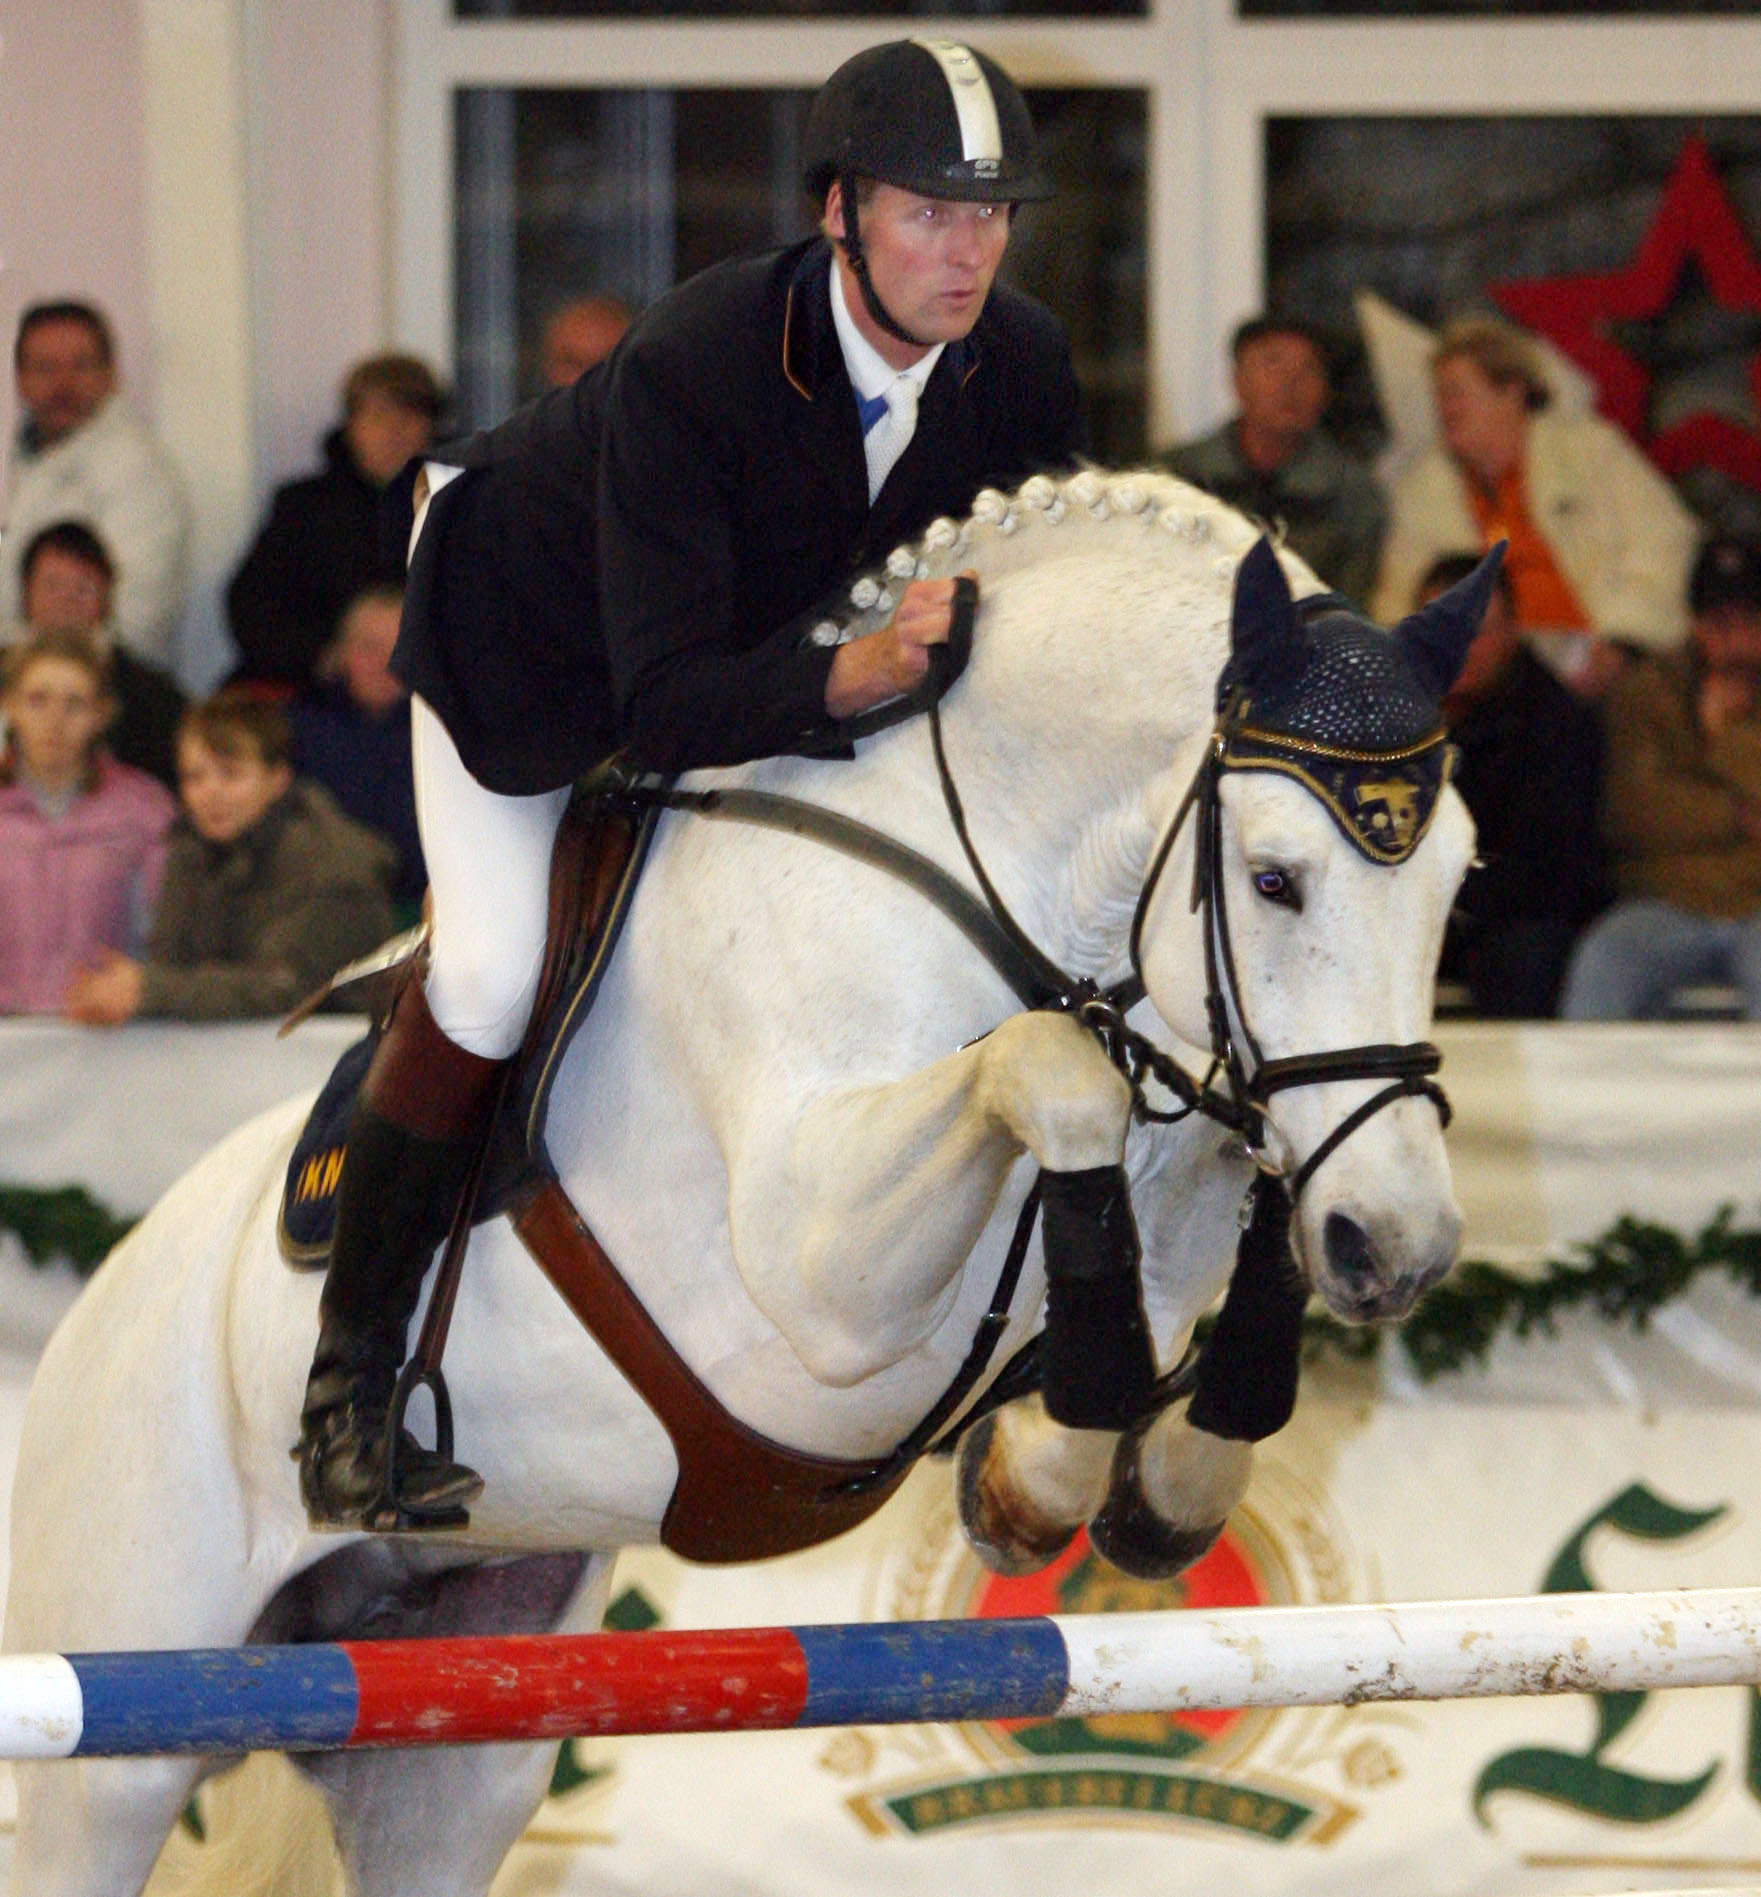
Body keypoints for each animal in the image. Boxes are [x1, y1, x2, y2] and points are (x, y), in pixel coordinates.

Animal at [3, 466, 1487, 1889]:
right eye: (1275, 879)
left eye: (1458, 881)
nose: (1405, 1251)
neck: (982, 875)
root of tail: (100, 1306)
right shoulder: (819, 1263)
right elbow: (1053, 1072)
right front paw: (1059, 1462)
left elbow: (1219, 1205)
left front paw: (1110, 1471)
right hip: (110, 1746)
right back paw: (354, 1437)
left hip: (450, 1754)